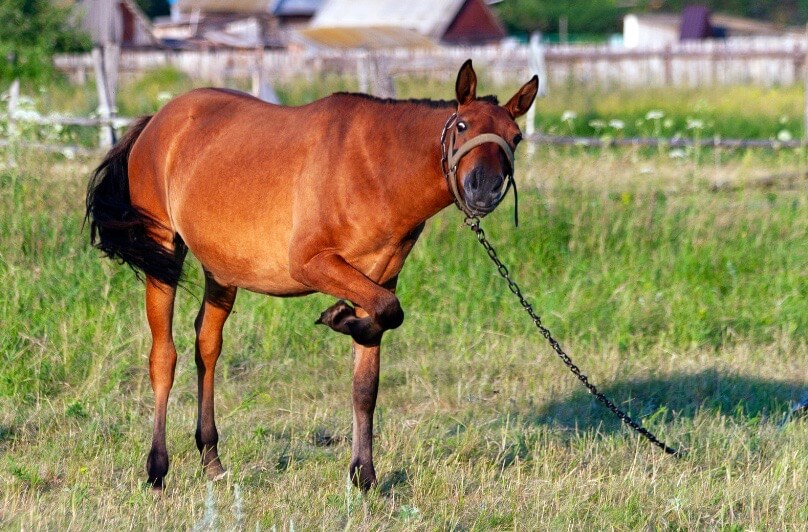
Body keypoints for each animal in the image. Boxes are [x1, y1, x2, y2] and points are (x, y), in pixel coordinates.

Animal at [86, 60, 538, 491]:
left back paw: (212, 460)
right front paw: (338, 317)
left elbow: (367, 378)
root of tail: (158, 120)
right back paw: (157, 469)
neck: (375, 169)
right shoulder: (310, 264)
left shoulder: (377, 279)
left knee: (207, 347)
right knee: (164, 357)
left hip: (222, 271)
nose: (484, 189)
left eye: (515, 137)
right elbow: (388, 312)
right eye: (463, 126)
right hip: (163, 253)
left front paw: (364, 475)